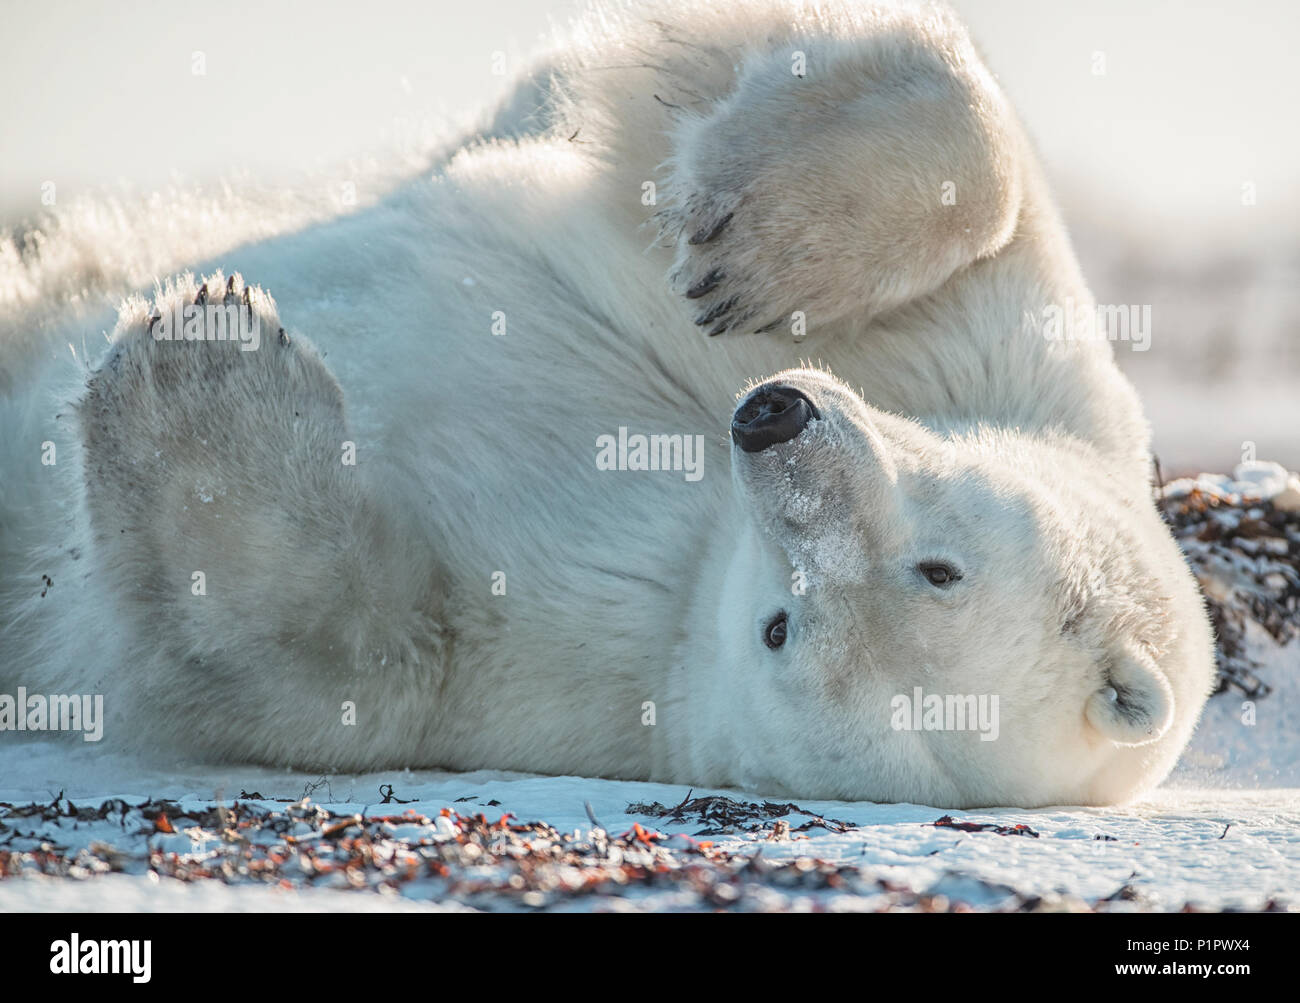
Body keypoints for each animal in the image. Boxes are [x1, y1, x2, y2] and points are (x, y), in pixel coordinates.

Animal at [2, 0, 1216, 805]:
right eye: (942, 567)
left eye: (779, 629)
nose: (770, 418)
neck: (706, 520)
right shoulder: (1014, 358)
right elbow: (961, 140)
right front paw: (759, 245)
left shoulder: (564, 669)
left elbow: (323, 656)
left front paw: (200, 361)